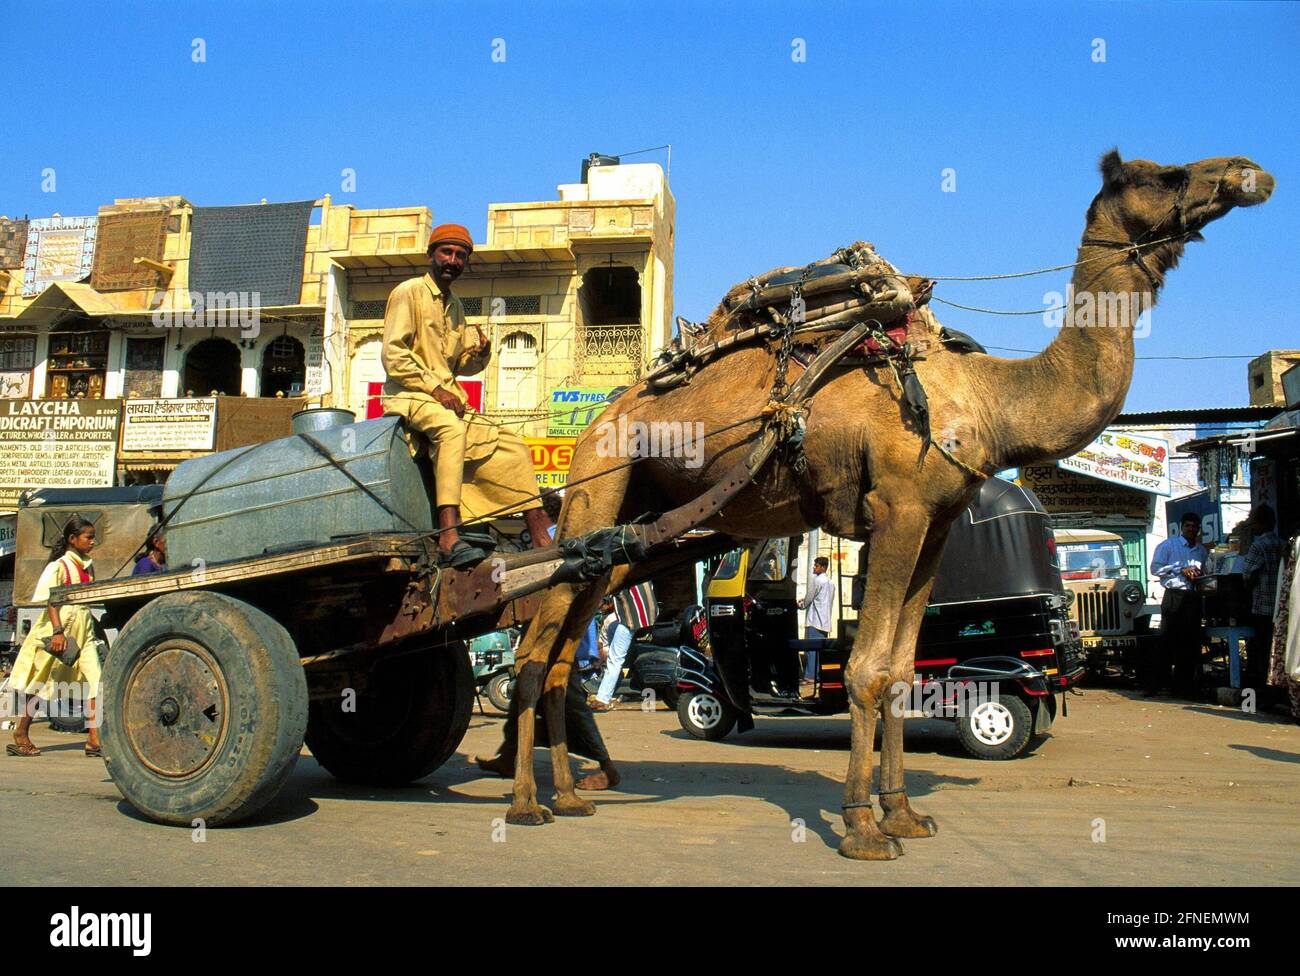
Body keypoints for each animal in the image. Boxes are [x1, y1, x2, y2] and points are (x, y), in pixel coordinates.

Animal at [501, 148, 1274, 857]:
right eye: (1165, 175)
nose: (1249, 171)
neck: (990, 401)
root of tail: (603, 416)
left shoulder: (935, 522)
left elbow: (903, 672)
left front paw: (904, 812)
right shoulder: (898, 509)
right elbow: (868, 668)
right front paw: (862, 826)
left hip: (633, 526)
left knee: (568, 642)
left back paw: (569, 795)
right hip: (597, 484)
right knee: (535, 645)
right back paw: (526, 805)